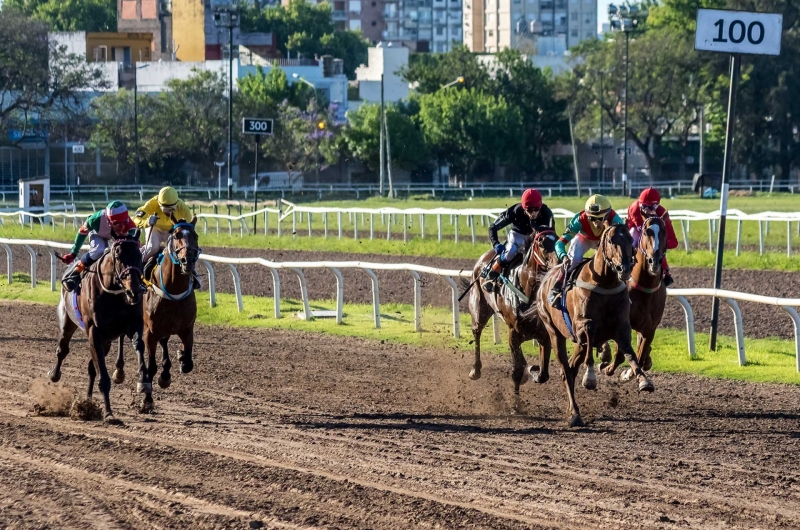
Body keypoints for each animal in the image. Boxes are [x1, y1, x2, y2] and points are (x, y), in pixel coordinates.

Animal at [48, 235, 148, 420]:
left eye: (139, 255)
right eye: (118, 256)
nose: (134, 291)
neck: (114, 293)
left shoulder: (133, 323)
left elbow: (139, 344)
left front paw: (144, 383)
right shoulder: (94, 332)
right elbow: (103, 376)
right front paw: (108, 413)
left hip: (107, 340)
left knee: (91, 367)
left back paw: (87, 401)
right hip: (67, 321)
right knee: (62, 350)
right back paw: (54, 375)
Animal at [466, 230, 560, 392]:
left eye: (559, 240)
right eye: (541, 243)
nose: (559, 262)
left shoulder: (543, 335)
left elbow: (543, 375)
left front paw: (533, 371)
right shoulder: (514, 332)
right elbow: (516, 373)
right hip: (479, 308)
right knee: (476, 331)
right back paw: (475, 370)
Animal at [536, 222, 648, 424]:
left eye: (630, 239)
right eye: (611, 240)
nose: (625, 268)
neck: (605, 283)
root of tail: (544, 281)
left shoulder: (622, 326)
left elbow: (629, 353)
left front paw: (644, 381)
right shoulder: (580, 326)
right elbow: (590, 327)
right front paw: (590, 377)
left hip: (577, 343)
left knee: (571, 369)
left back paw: (572, 410)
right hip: (553, 331)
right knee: (566, 370)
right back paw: (575, 414)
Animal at [600, 214, 668, 380]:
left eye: (664, 231)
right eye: (646, 231)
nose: (654, 261)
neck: (645, 289)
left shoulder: (650, 329)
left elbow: (640, 355)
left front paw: (630, 373)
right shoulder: (623, 323)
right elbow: (621, 354)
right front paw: (607, 368)